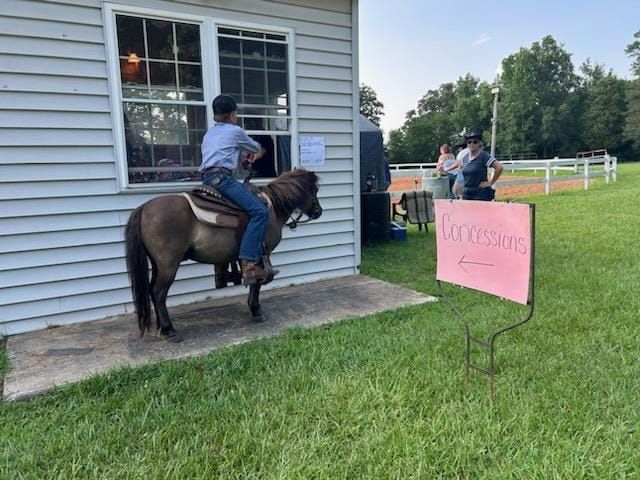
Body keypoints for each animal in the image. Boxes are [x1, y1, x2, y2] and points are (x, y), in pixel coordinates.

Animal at [125, 169, 322, 342]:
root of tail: (143, 208)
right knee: (158, 293)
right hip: (168, 264)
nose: (318, 211)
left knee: (152, 290)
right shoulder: (261, 253)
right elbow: (256, 283)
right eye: (314, 190)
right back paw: (169, 331)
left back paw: (161, 328)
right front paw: (256, 311)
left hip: (157, 264)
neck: (272, 207)